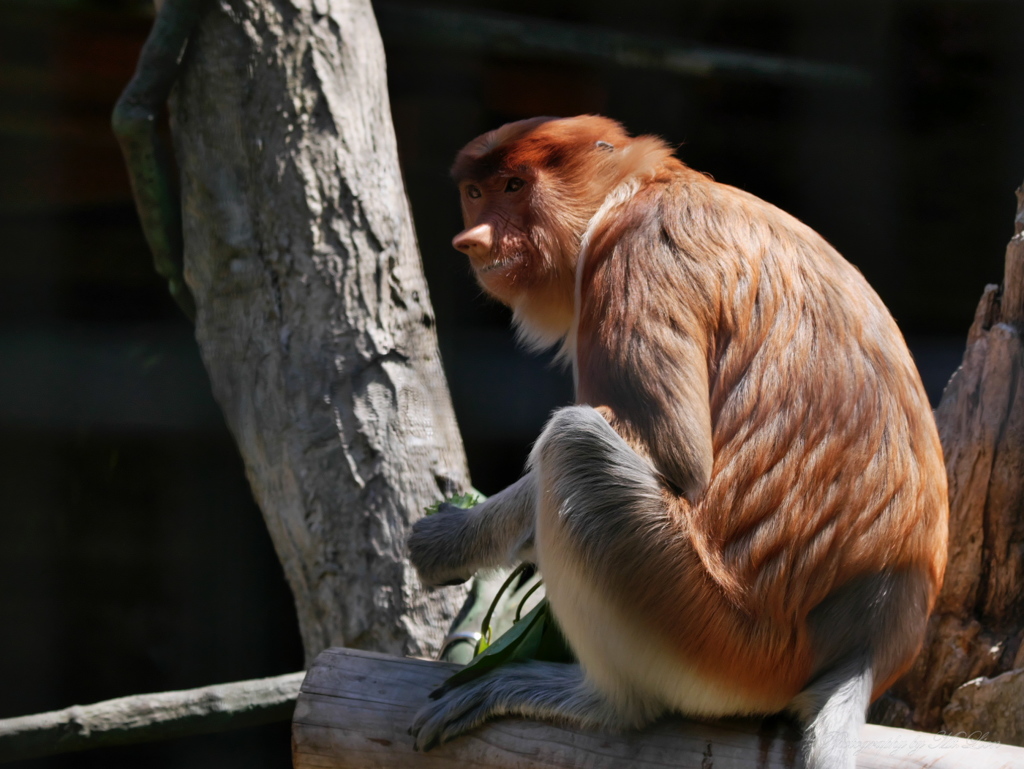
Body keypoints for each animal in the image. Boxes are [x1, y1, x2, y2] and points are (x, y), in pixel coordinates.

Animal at [405, 115, 942, 769]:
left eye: (514, 185)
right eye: (476, 192)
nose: (474, 240)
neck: (639, 186)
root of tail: (871, 643)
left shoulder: (635, 254)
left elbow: (673, 459)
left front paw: (446, 539)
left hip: (711, 635)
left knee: (574, 444)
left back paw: (595, 700)